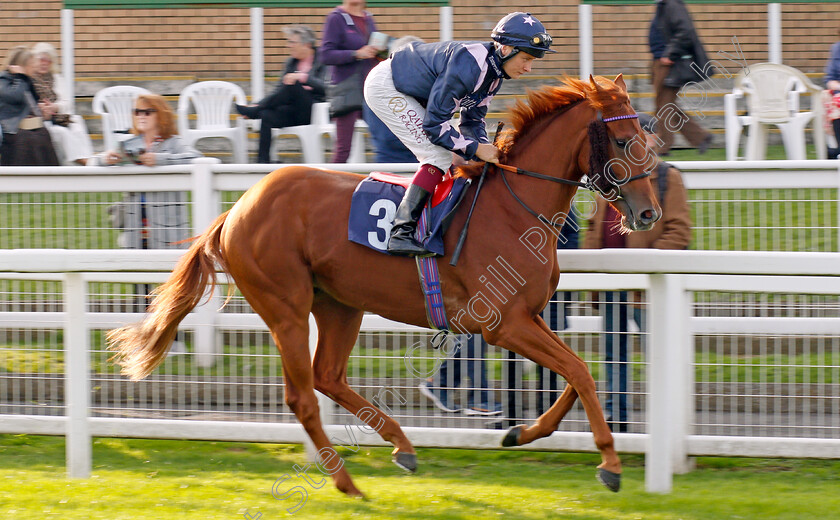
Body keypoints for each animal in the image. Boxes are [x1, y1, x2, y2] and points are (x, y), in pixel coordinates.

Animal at [106, 76, 656, 496]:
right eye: (623, 142)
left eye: (648, 140)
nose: (649, 213)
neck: (513, 205)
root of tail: (236, 209)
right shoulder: (503, 324)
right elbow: (579, 372)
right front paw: (609, 464)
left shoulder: (531, 316)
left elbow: (577, 375)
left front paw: (523, 432)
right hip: (285, 305)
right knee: (303, 395)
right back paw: (347, 482)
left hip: (339, 305)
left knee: (328, 377)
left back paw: (403, 447)